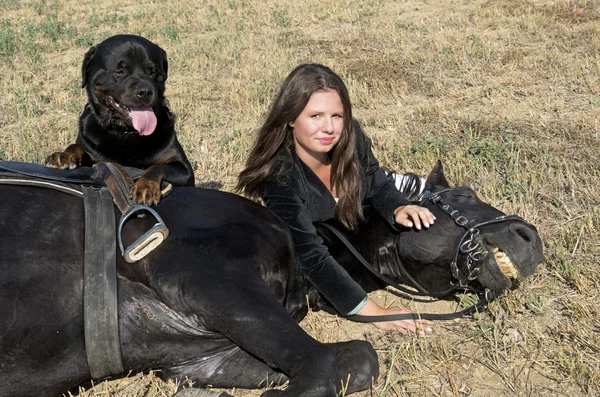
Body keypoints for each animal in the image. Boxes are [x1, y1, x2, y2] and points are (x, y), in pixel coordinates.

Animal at [0, 161, 544, 396]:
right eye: (462, 194)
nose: (530, 236)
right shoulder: (208, 278)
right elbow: (333, 364)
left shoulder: (205, 359)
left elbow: (338, 363)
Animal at [46, 34, 193, 204]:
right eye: (120, 71)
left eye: (153, 72)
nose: (144, 91)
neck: (125, 132)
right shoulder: (95, 158)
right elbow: (76, 146)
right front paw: (64, 154)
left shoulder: (184, 170)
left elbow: (157, 167)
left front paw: (146, 185)